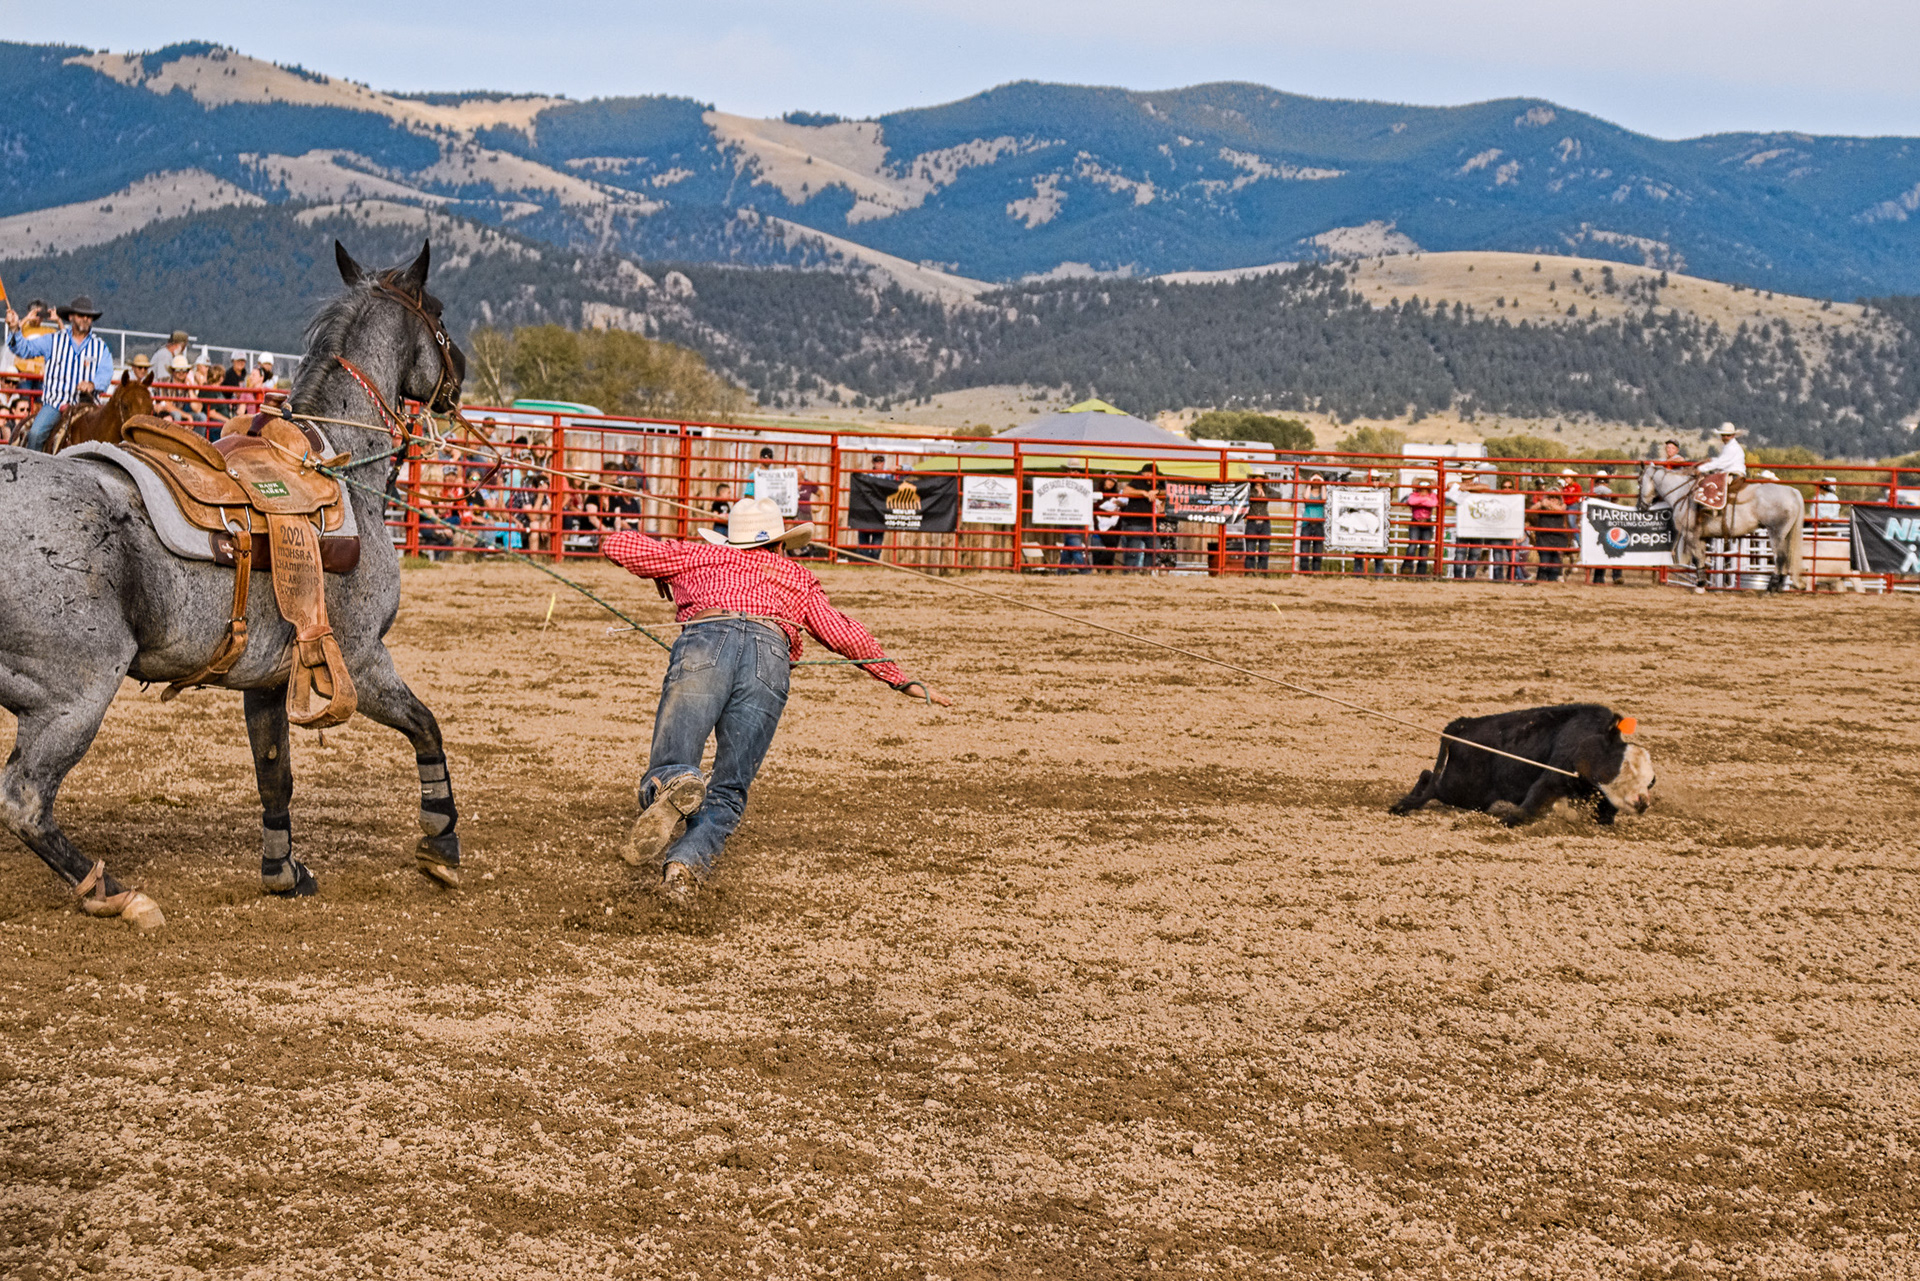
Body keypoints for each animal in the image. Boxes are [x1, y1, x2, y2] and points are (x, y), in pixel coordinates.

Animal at [1389, 703, 1655, 826]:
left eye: (1650, 782)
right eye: (1622, 766)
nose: (1642, 802)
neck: (1588, 739)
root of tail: (1460, 725)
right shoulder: (1553, 778)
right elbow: (1533, 800)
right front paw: (1510, 820)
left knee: (1426, 774)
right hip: (1462, 790)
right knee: (1430, 784)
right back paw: (1402, 806)